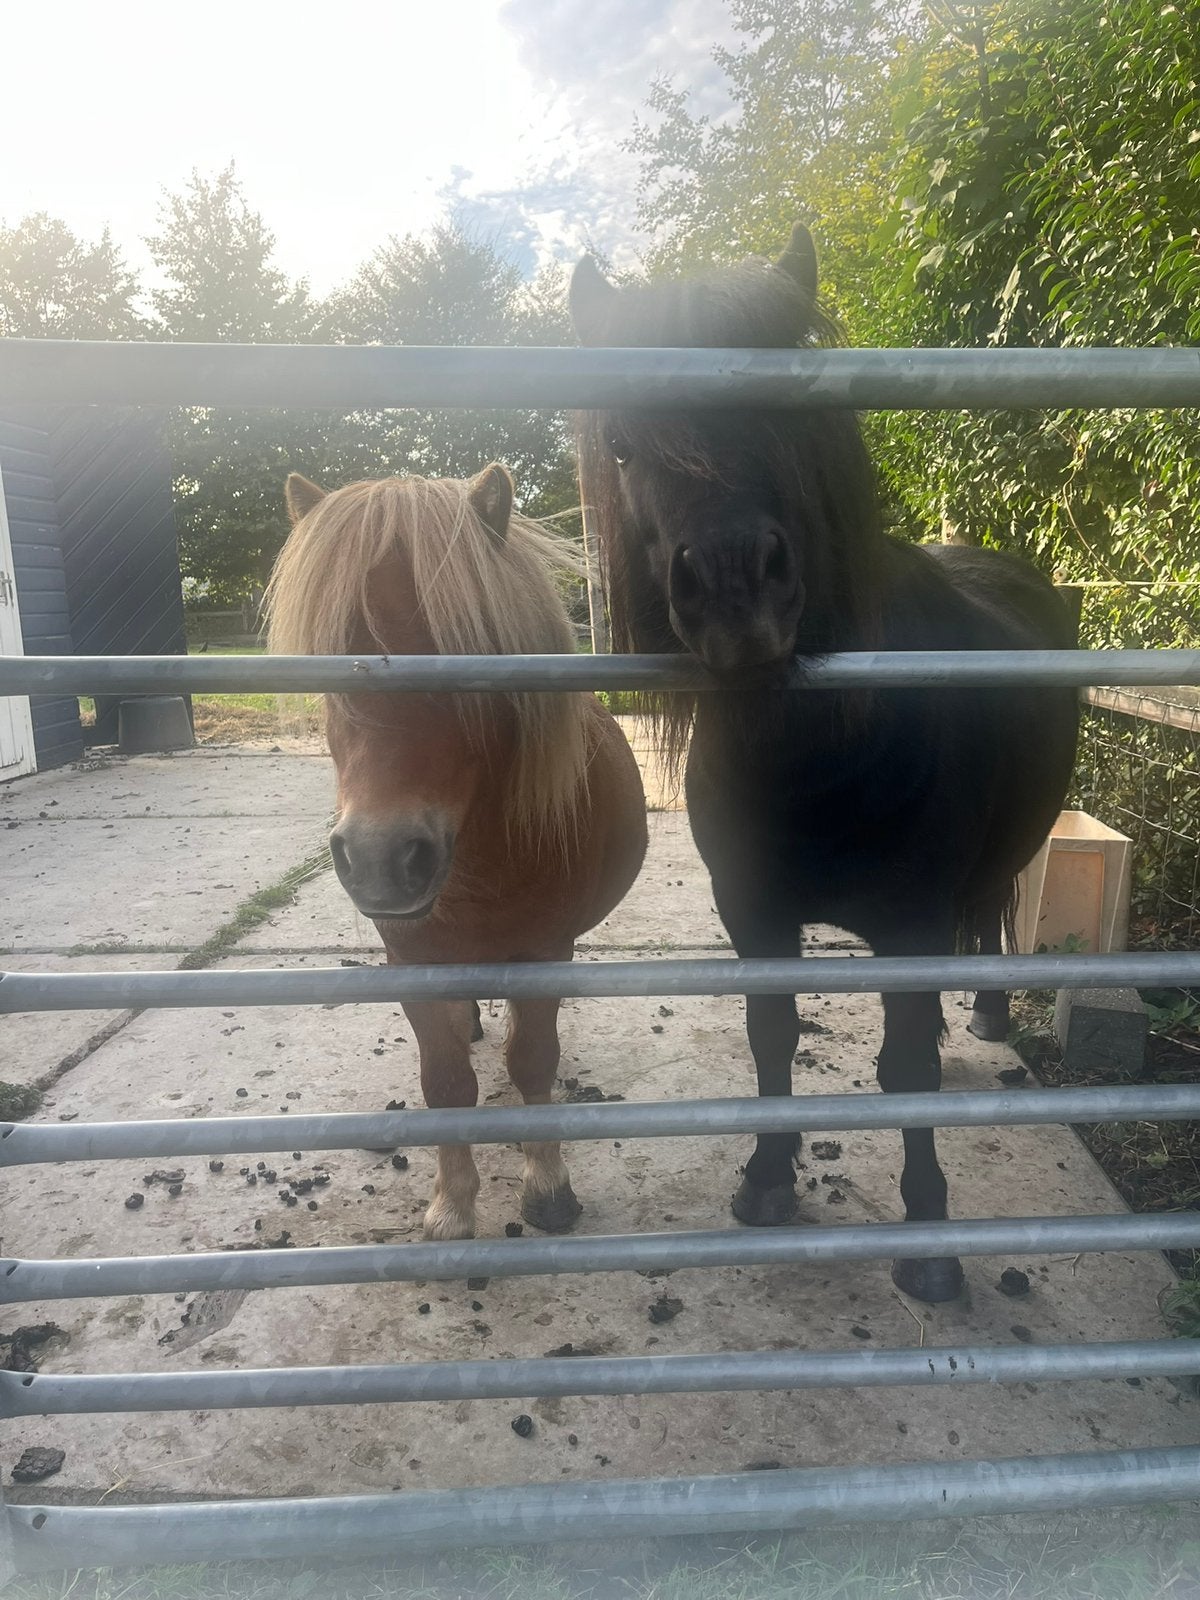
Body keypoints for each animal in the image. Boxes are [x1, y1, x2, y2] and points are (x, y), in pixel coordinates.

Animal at [264, 465, 648, 1240]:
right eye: (326, 662)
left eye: (466, 652)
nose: (381, 859)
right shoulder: (411, 960)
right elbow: (444, 1082)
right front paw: (452, 1206)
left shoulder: (544, 953)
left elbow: (533, 1063)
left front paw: (547, 1186)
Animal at [569, 224, 1079, 1303]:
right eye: (625, 445)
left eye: (790, 413)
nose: (733, 591)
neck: (819, 764)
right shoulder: (752, 912)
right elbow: (773, 1038)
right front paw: (766, 1179)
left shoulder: (913, 922)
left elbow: (904, 1073)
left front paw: (928, 1239)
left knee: (994, 915)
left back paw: (986, 1014)